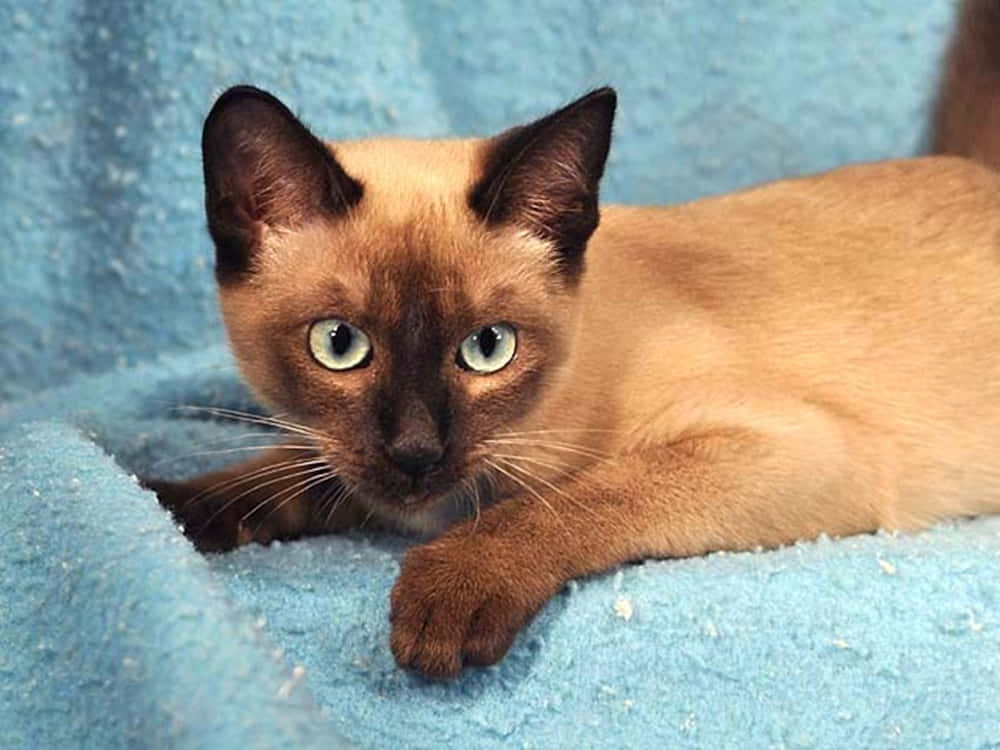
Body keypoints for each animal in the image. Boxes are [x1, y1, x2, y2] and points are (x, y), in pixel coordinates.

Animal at [146, 1, 1000, 680]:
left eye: (488, 348)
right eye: (339, 344)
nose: (418, 451)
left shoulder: (788, 449)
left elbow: (580, 496)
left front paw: (449, 592)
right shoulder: (347, 460)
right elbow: (283, 474)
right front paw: (167, 507)